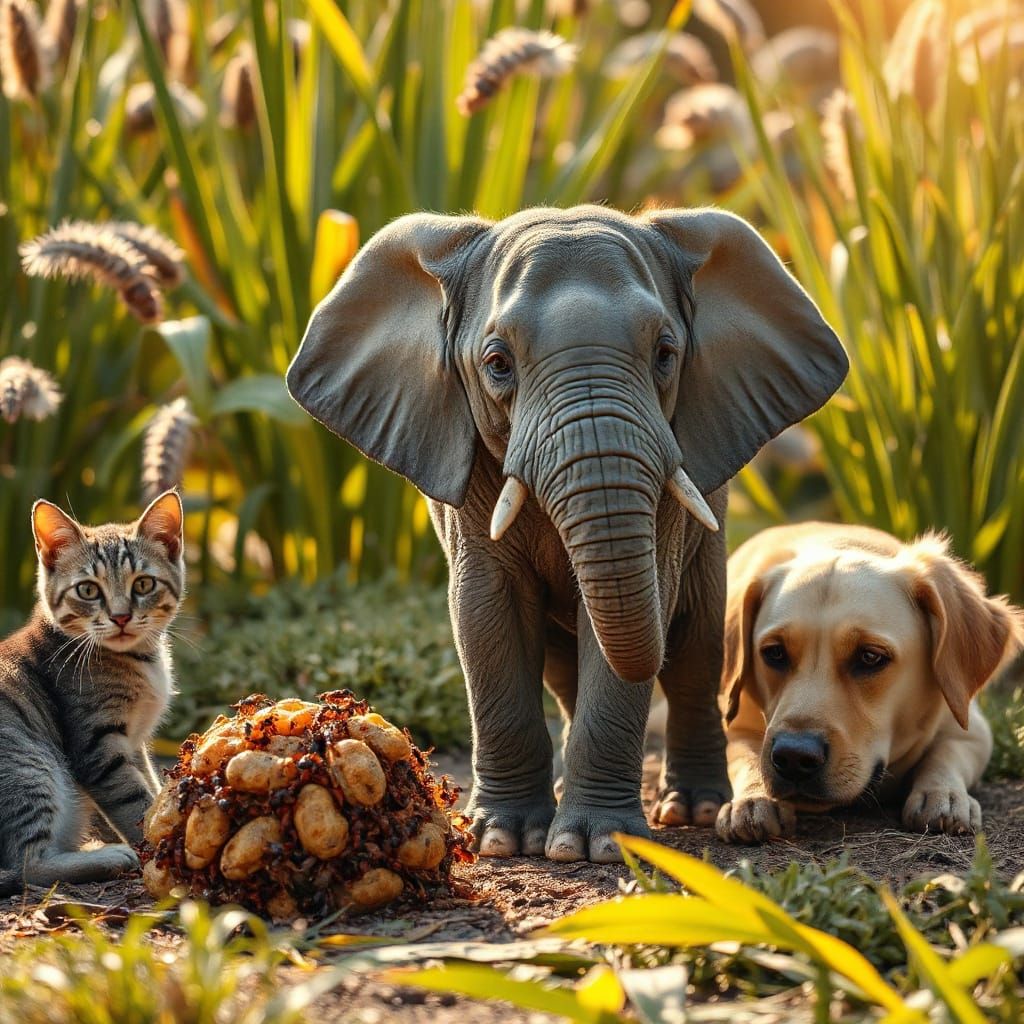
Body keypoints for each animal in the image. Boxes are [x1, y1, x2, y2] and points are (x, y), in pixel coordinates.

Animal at [286, 205, 848, 863]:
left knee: (694, 647)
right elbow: (487, 614)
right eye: (497, 364)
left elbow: (641, 620)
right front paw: (502, 840)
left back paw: (695, 810)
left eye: (665, 354)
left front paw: (595, 846)